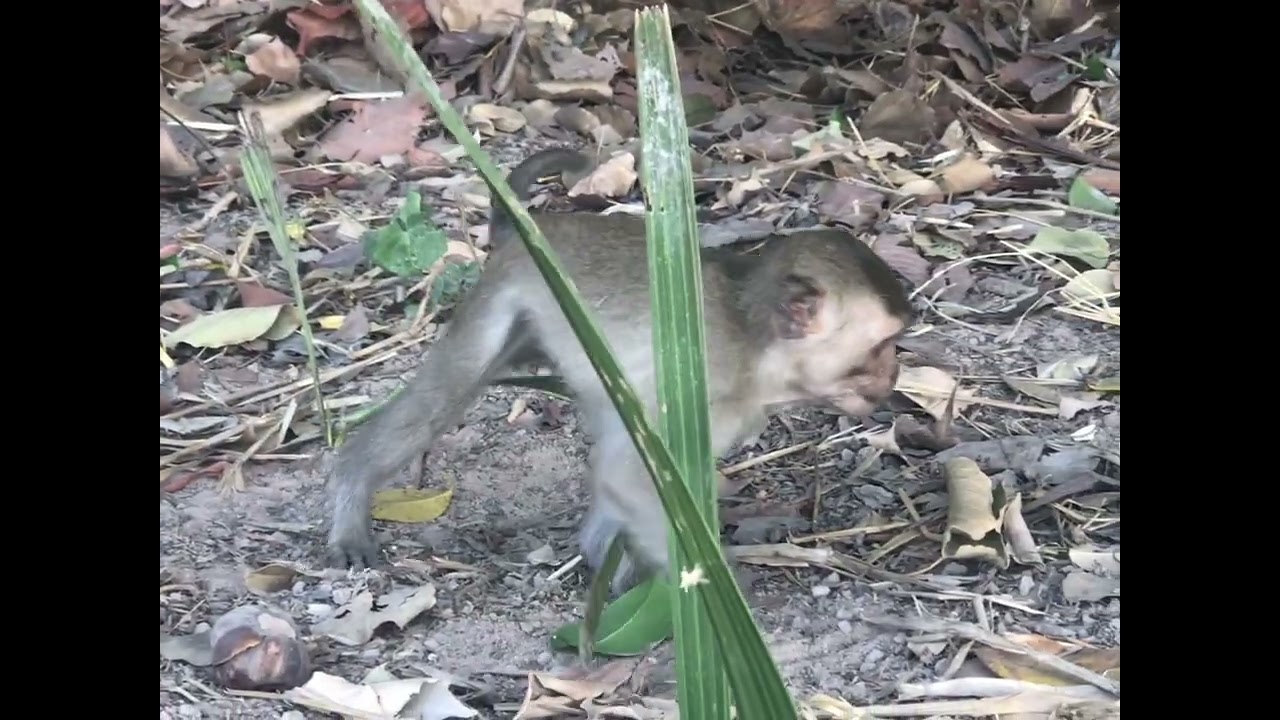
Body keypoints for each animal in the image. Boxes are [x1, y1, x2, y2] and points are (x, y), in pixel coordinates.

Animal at [326, 147, 912, 591]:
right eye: (883, 345)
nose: (893, 377)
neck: (756, 347)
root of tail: (530, 231)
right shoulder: (706, 398)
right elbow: (630, 481)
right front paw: (716, 599)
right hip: (503, 296)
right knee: (450, 388)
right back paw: (351, 490)